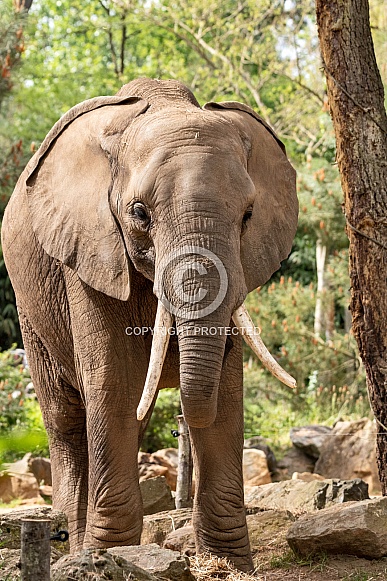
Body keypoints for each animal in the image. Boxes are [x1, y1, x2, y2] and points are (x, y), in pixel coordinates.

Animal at [1, 78, 298, 572]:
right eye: (140, 213)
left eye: (248, 216)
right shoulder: (91, 250)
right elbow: (115, 380)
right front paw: (106, 558)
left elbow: (226, 389)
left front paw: (229, 564)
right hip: (31, 309)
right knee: (67, 420)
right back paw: (72, 548)